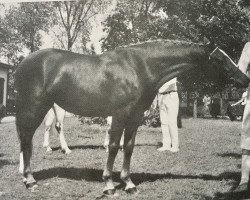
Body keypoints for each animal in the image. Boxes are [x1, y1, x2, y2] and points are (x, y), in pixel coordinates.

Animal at [16, 39, 250, 195]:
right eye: (220, 60)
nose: (245, 79)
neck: (139, 67)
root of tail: (23, 63)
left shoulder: (135, 117)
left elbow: (128, 147)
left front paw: (128, 183)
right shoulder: (119, 114)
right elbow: (112, 147)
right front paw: (109, 184)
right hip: (34, 107)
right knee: (26, 138)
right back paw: (30, 179)